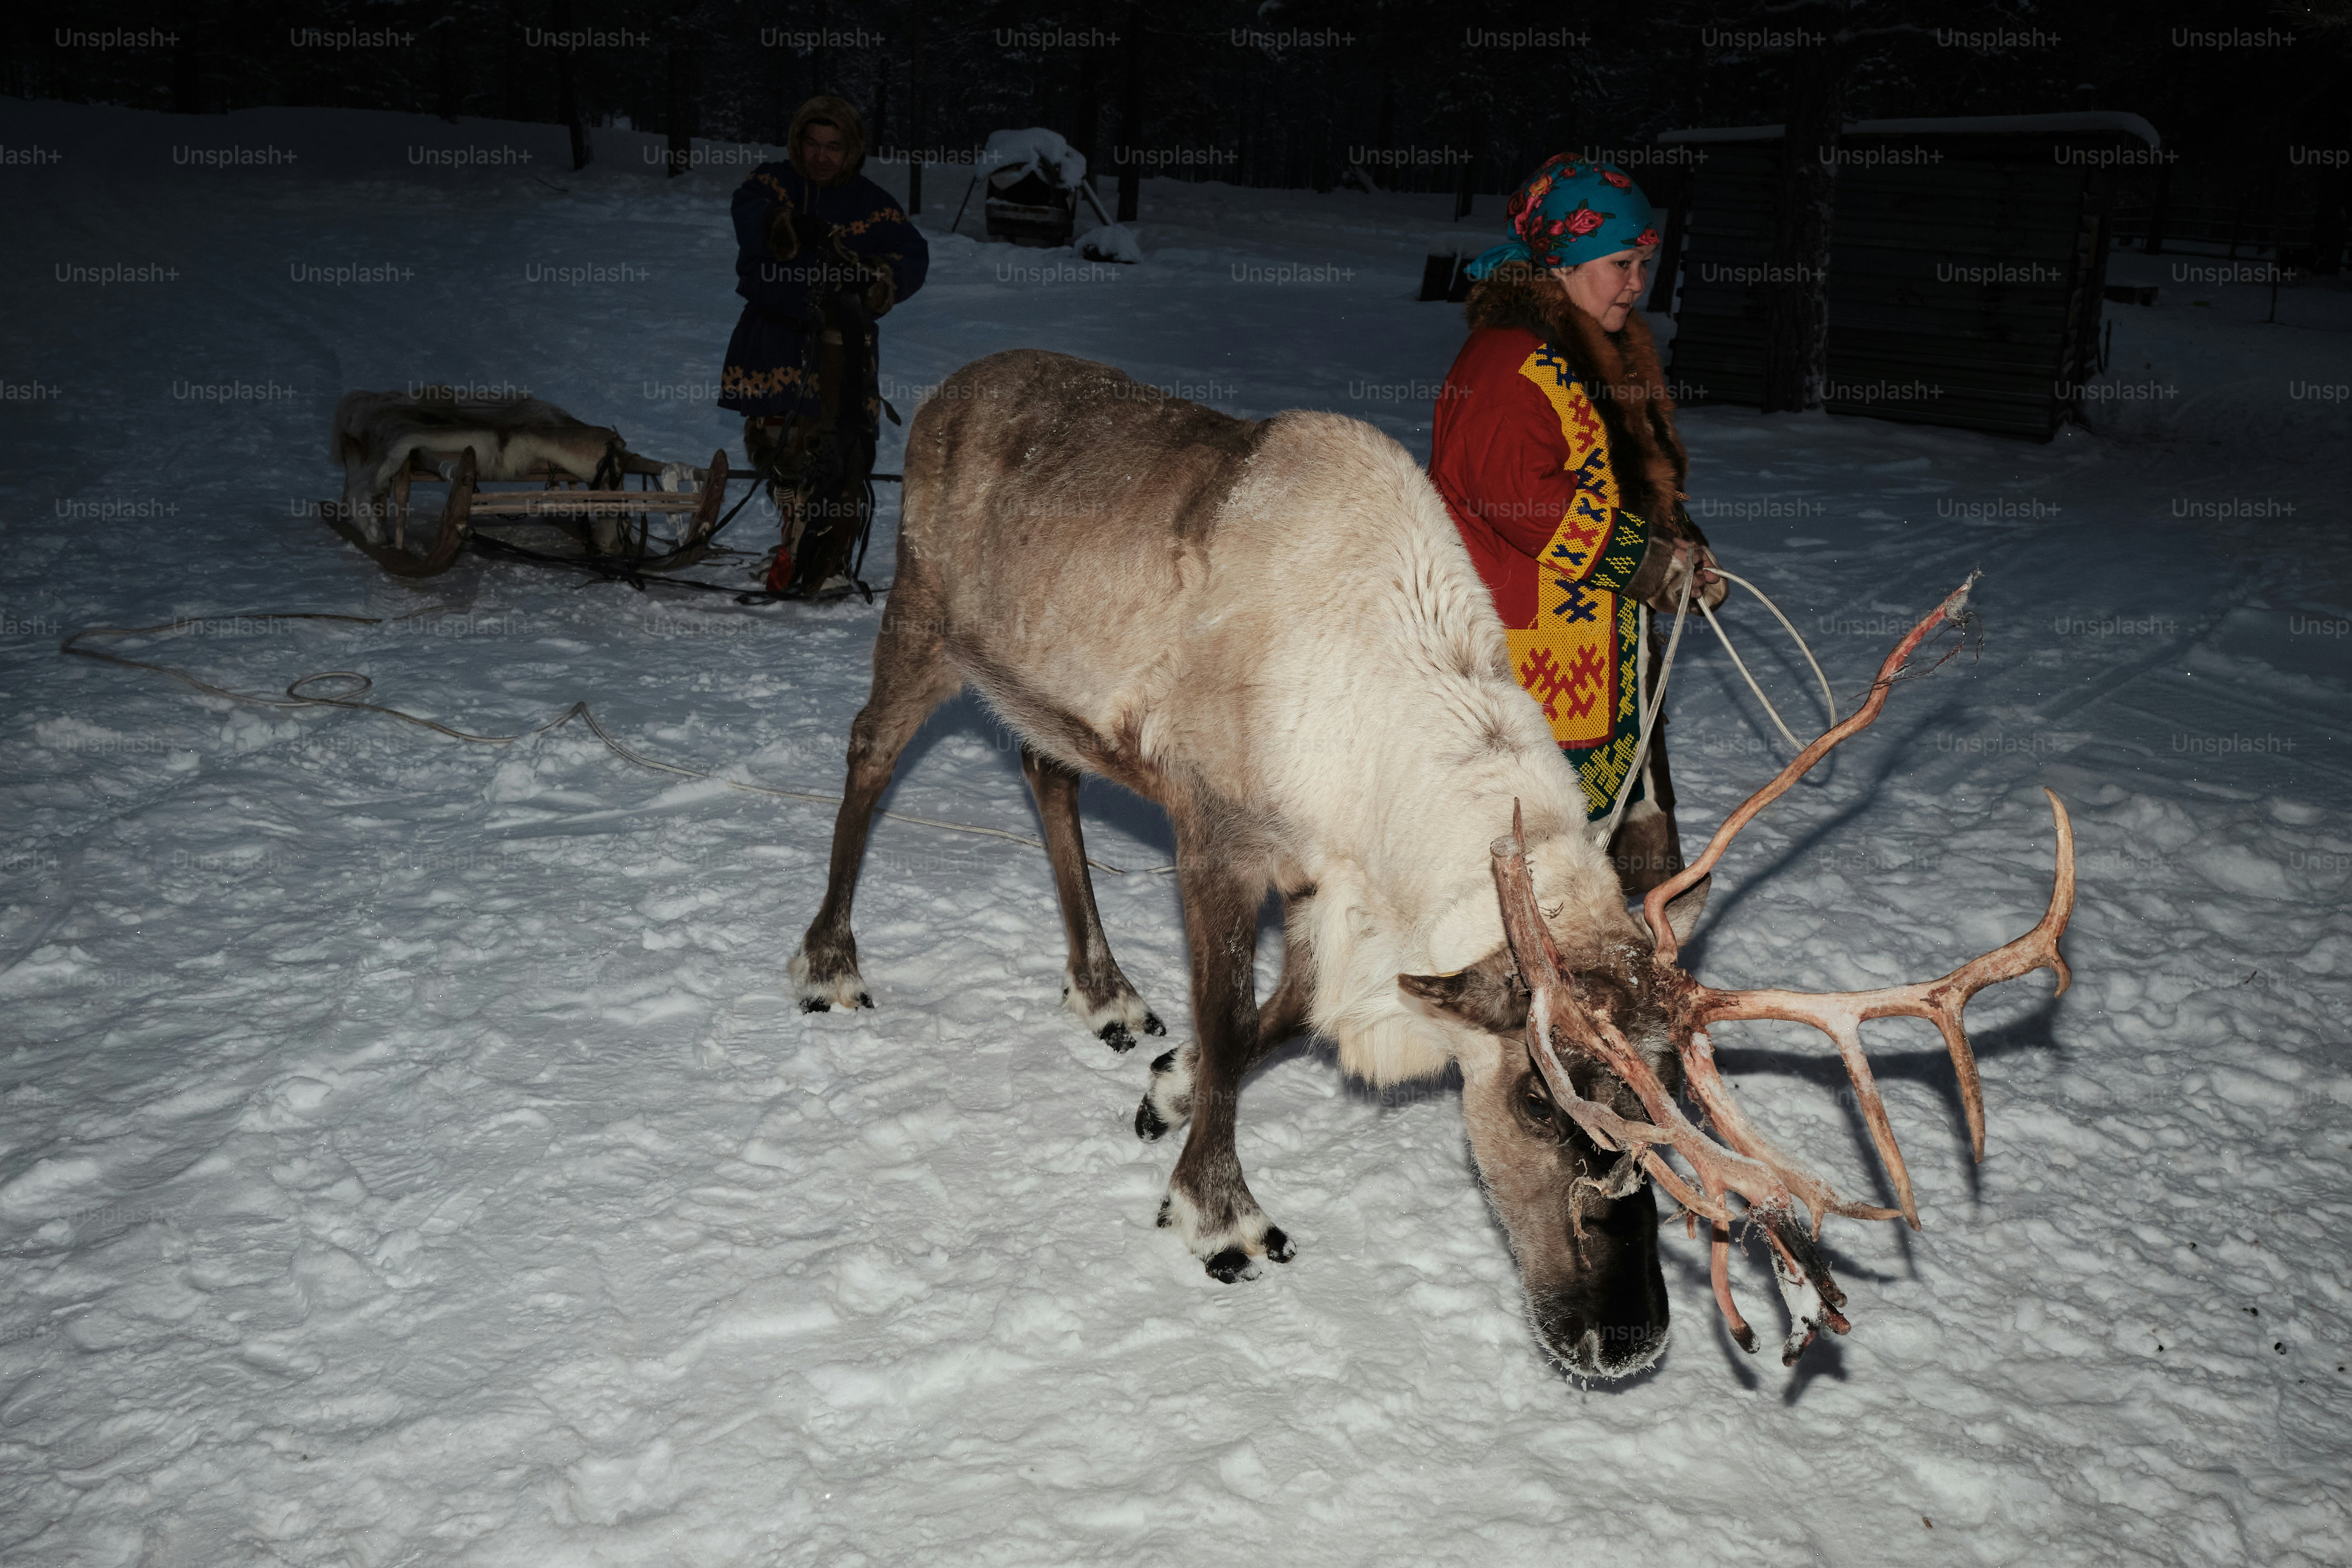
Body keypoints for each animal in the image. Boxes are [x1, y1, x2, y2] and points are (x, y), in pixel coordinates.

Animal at [790, 349, 2074, 1378]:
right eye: (1553, 1109)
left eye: (1663, 1111)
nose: (1629, 1341)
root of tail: (949, 389)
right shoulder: (1221, 836)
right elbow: (1231, 1022)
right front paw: (1220, 1214)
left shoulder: (1341, 895)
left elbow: (1273, 1022)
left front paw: (1163, 1083)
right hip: (924, 615)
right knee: (866, 753)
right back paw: (830, 962)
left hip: (1040, 692)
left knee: (1042, 771)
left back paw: (1104, 993)